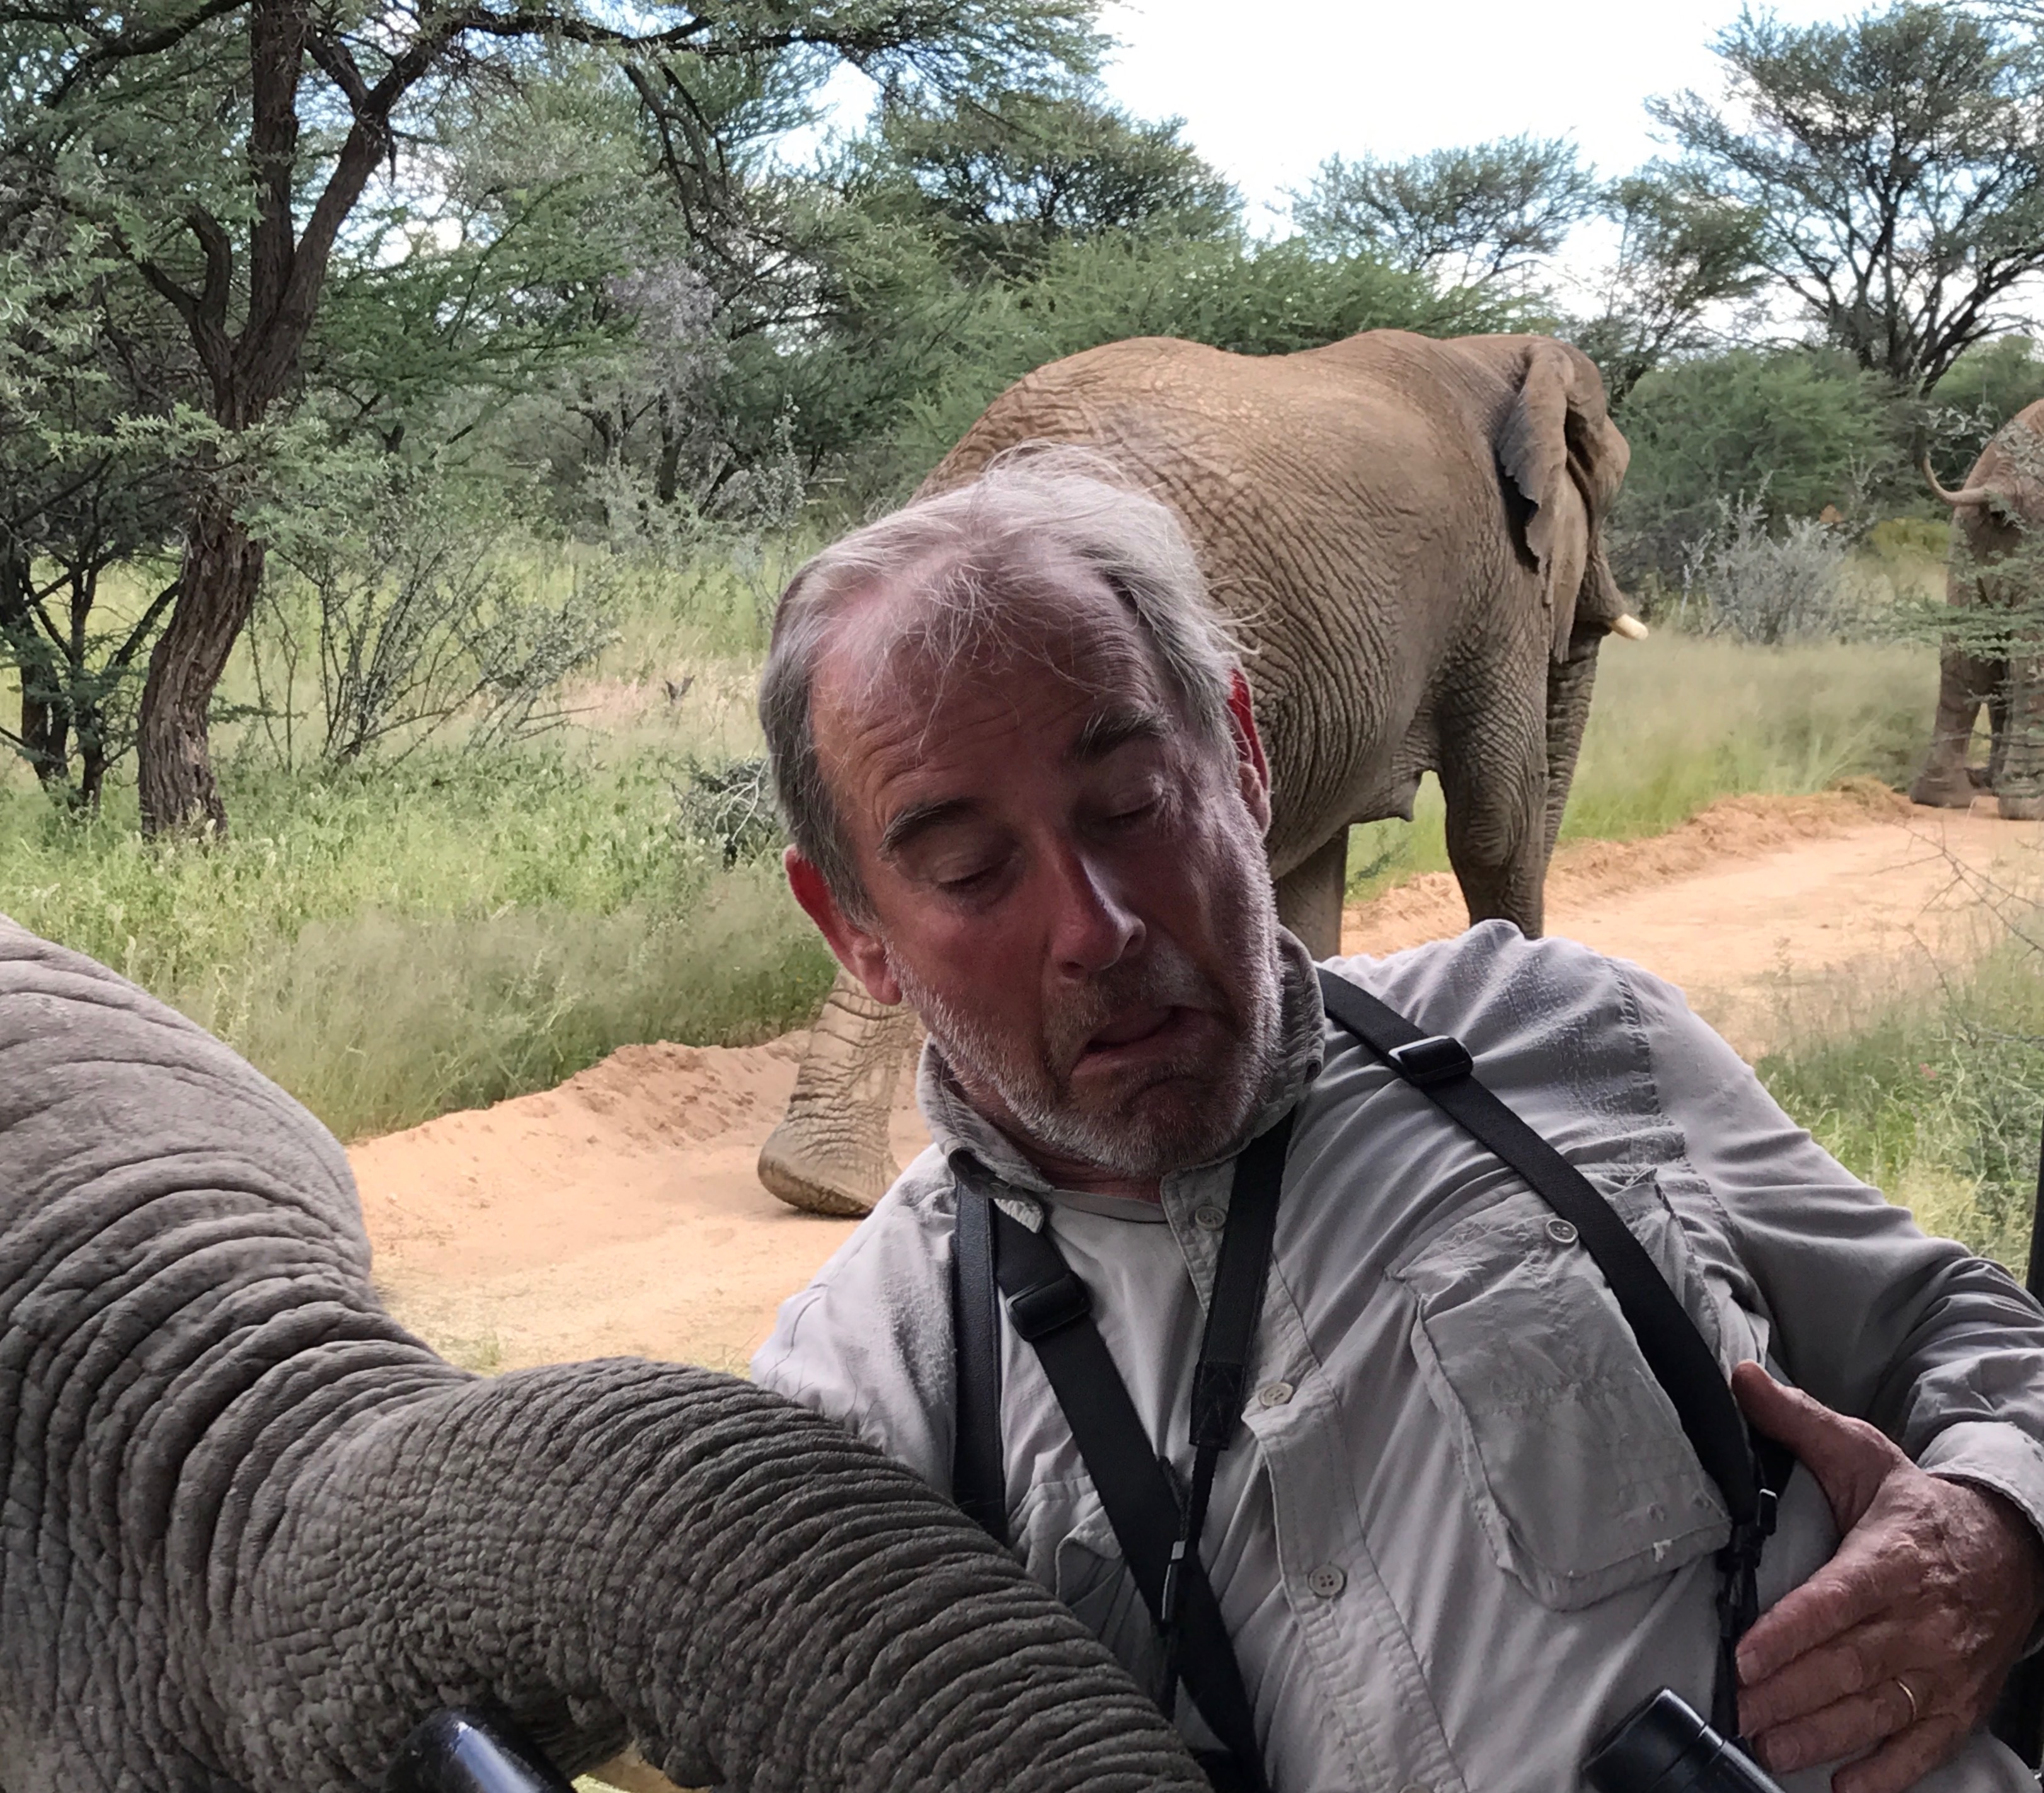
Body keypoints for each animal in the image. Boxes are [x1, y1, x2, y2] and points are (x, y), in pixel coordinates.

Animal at [758, 327, 1643, 1217]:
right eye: (1613, 477)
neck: (1501, 353)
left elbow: (1311, 878)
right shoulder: (1497, 586)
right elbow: (1496, 824)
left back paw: (814, 1182)